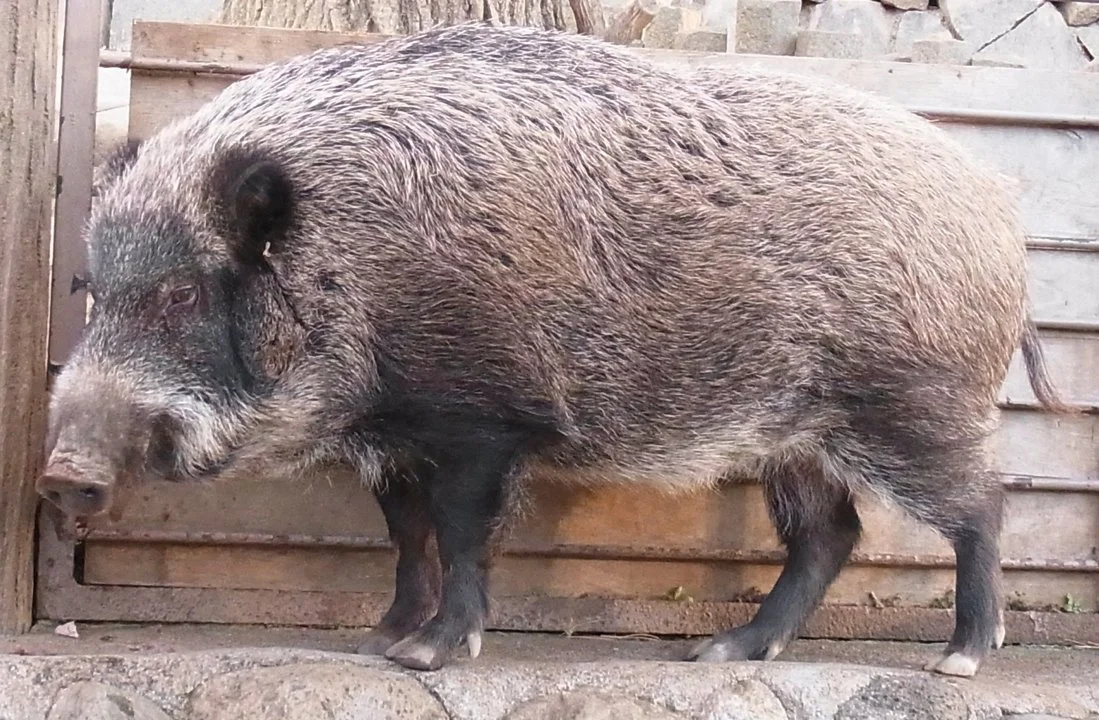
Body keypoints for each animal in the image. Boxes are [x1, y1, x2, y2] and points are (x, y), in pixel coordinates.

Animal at [39, 21, 1067, 677]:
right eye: (96, 289)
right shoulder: (395, 433)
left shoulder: (482, 415)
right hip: (796, 435)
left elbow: (460, 532)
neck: (351, 259)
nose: (59, 473)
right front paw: (379, 642)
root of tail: (999, 217)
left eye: (180, 294)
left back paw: (958, 663)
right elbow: (406, 535)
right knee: (830, 534)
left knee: (980, 506)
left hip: (911, 402)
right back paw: (718, 655)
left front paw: (428, 657)